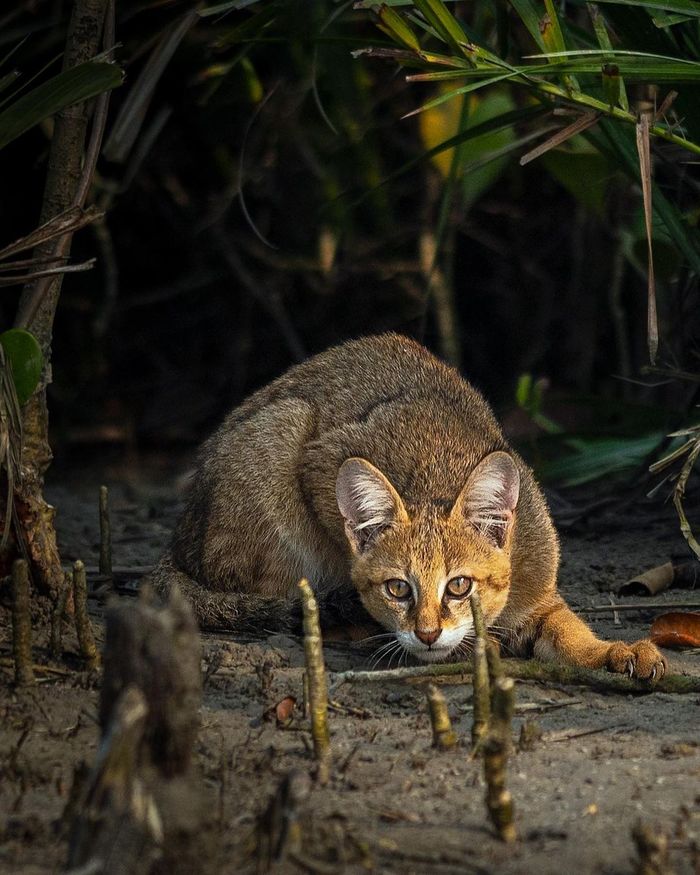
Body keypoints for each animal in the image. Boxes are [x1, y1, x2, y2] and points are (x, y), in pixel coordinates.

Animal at [152, 332, 668, 680]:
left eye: (459, 586)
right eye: (398, 589)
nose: (427, 633)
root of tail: (179, 539)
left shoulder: (538, 591)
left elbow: (570, 631)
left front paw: (613, 650)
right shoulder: (319, 462)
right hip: (280, 434)